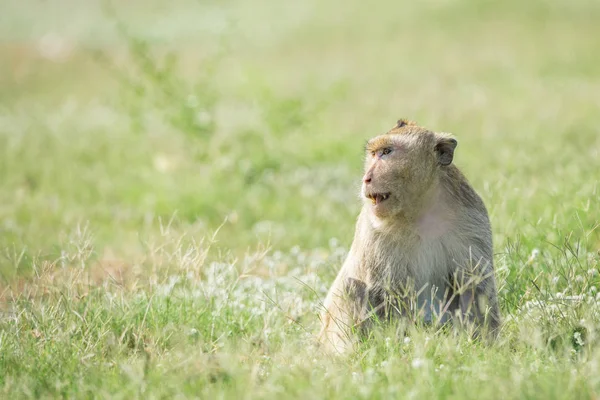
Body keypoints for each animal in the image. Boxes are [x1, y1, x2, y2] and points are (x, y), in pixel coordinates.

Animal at [318, 118, 502, 354]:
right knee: (352, 287)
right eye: (374, 154)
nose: (367, 178)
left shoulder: (472, 219)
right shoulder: (374, 230)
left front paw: (485, 343)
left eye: (387, 152)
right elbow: (385, 291)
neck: (419, 211)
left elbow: (474, 284)